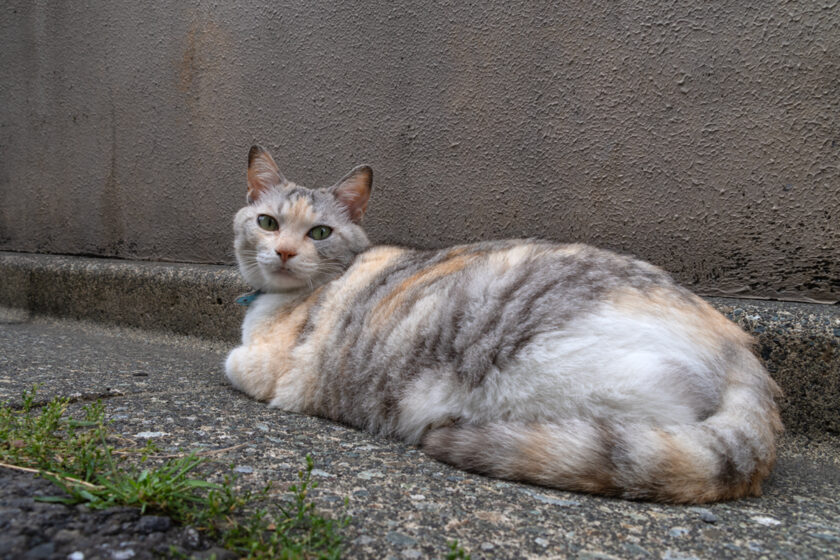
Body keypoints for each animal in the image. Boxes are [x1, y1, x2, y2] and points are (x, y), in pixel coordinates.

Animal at [226, 144, 784, 504]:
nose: (283, 252)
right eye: (268, 223)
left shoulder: (267, 369)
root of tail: (738, 347)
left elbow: (230, 361)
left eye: (319, 232)